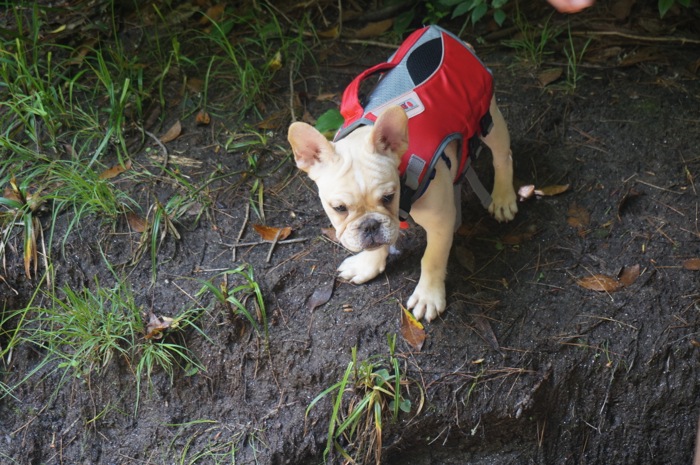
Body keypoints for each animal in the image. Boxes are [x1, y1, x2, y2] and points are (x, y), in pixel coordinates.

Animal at [288, 26, 516, 322]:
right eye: (339, 208)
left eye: (389, 196)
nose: (369, 226)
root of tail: (444, 32)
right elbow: (381, 242)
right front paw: (368, 264)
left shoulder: (438, 220)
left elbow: (431, 258)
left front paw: (428, 296)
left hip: (488, 118)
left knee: (502, 155)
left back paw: (503, 198)